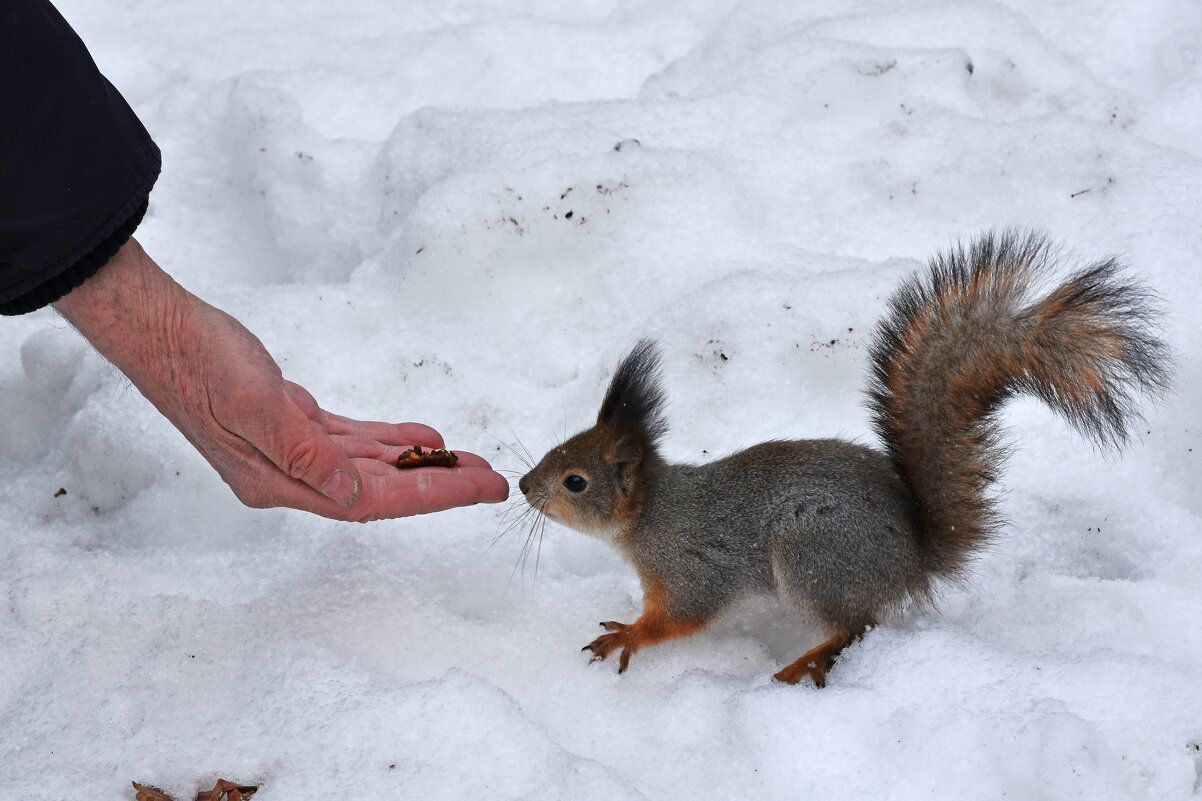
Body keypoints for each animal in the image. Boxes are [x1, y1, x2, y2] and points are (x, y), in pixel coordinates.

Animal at [514, 227, 1163, 683]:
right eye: (554, 451)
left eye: (574, 481)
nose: (523, 486)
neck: (651, 516)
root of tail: (912, 561)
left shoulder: (693, 566)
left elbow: (684, 617)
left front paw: (628, 636)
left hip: (812, 553)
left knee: (857, 625)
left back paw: (808, 662)